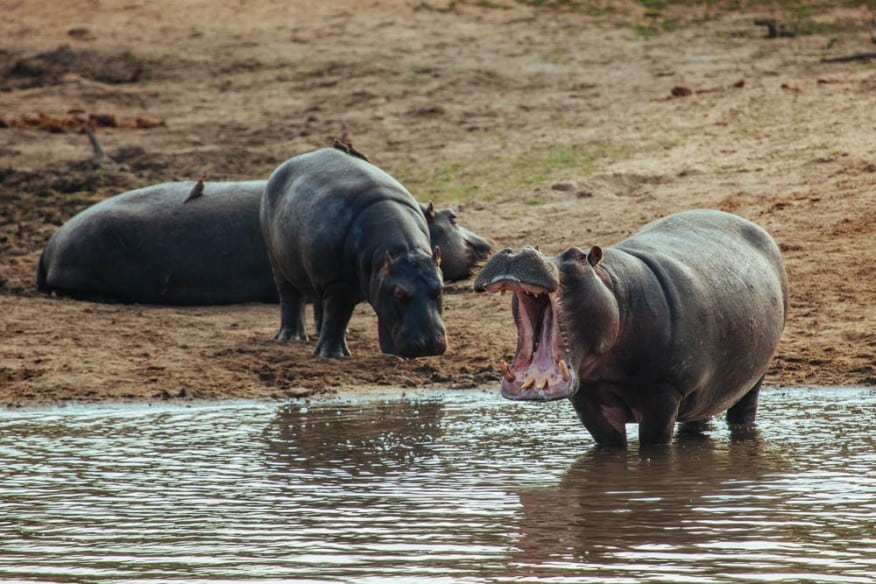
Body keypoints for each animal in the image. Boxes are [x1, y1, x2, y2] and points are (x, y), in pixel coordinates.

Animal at [260, 148, 448, 358]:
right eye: (399, 292)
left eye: (441, 288)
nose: (429, 345)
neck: (403, 252)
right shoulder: (339, 283)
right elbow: (337, 315)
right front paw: (331, 355)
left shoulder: (378, 284)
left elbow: (383, 319)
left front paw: (391, 355)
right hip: (279, 263)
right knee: (290, 296)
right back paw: (291, 338)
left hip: (318, 273)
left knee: (319, 301)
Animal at [476, 210, 792, 448]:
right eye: (538, 247)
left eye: (579, 257)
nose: (517, 251)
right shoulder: (587, 398)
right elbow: (609, 444)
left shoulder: (663, 392)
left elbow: (653, 444)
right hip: (703, 392)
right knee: (697, 419)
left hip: (755, 375)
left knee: (744, 410)